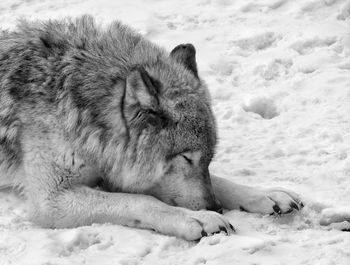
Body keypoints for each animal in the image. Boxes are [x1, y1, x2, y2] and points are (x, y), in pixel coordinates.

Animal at [0, 16, 302, 239]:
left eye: (208, 157)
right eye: (186, 158)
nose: (215, 207)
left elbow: (219, 181)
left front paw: (265, 194)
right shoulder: (51, 199)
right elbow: (142, 202)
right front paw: (198, 219)